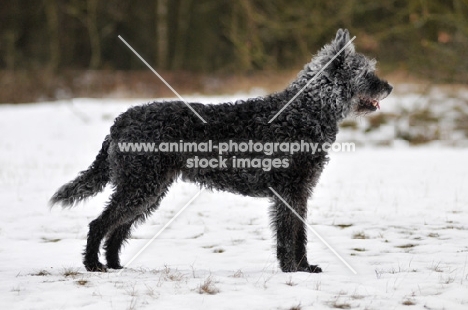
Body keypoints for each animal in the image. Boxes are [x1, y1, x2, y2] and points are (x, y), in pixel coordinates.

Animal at [49, 28, 392, 272]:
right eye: (365, 73)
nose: (388, 87)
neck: (305, 111)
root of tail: (119, 122)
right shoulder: (289, 191)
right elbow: (288, 235)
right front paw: (292, 270)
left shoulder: (299, 193)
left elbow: (299, 236)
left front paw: (303, 267)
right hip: (140, 187)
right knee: (100, 224)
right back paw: (93, 265)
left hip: (148, 190)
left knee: (117, 230)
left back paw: (115, 265)